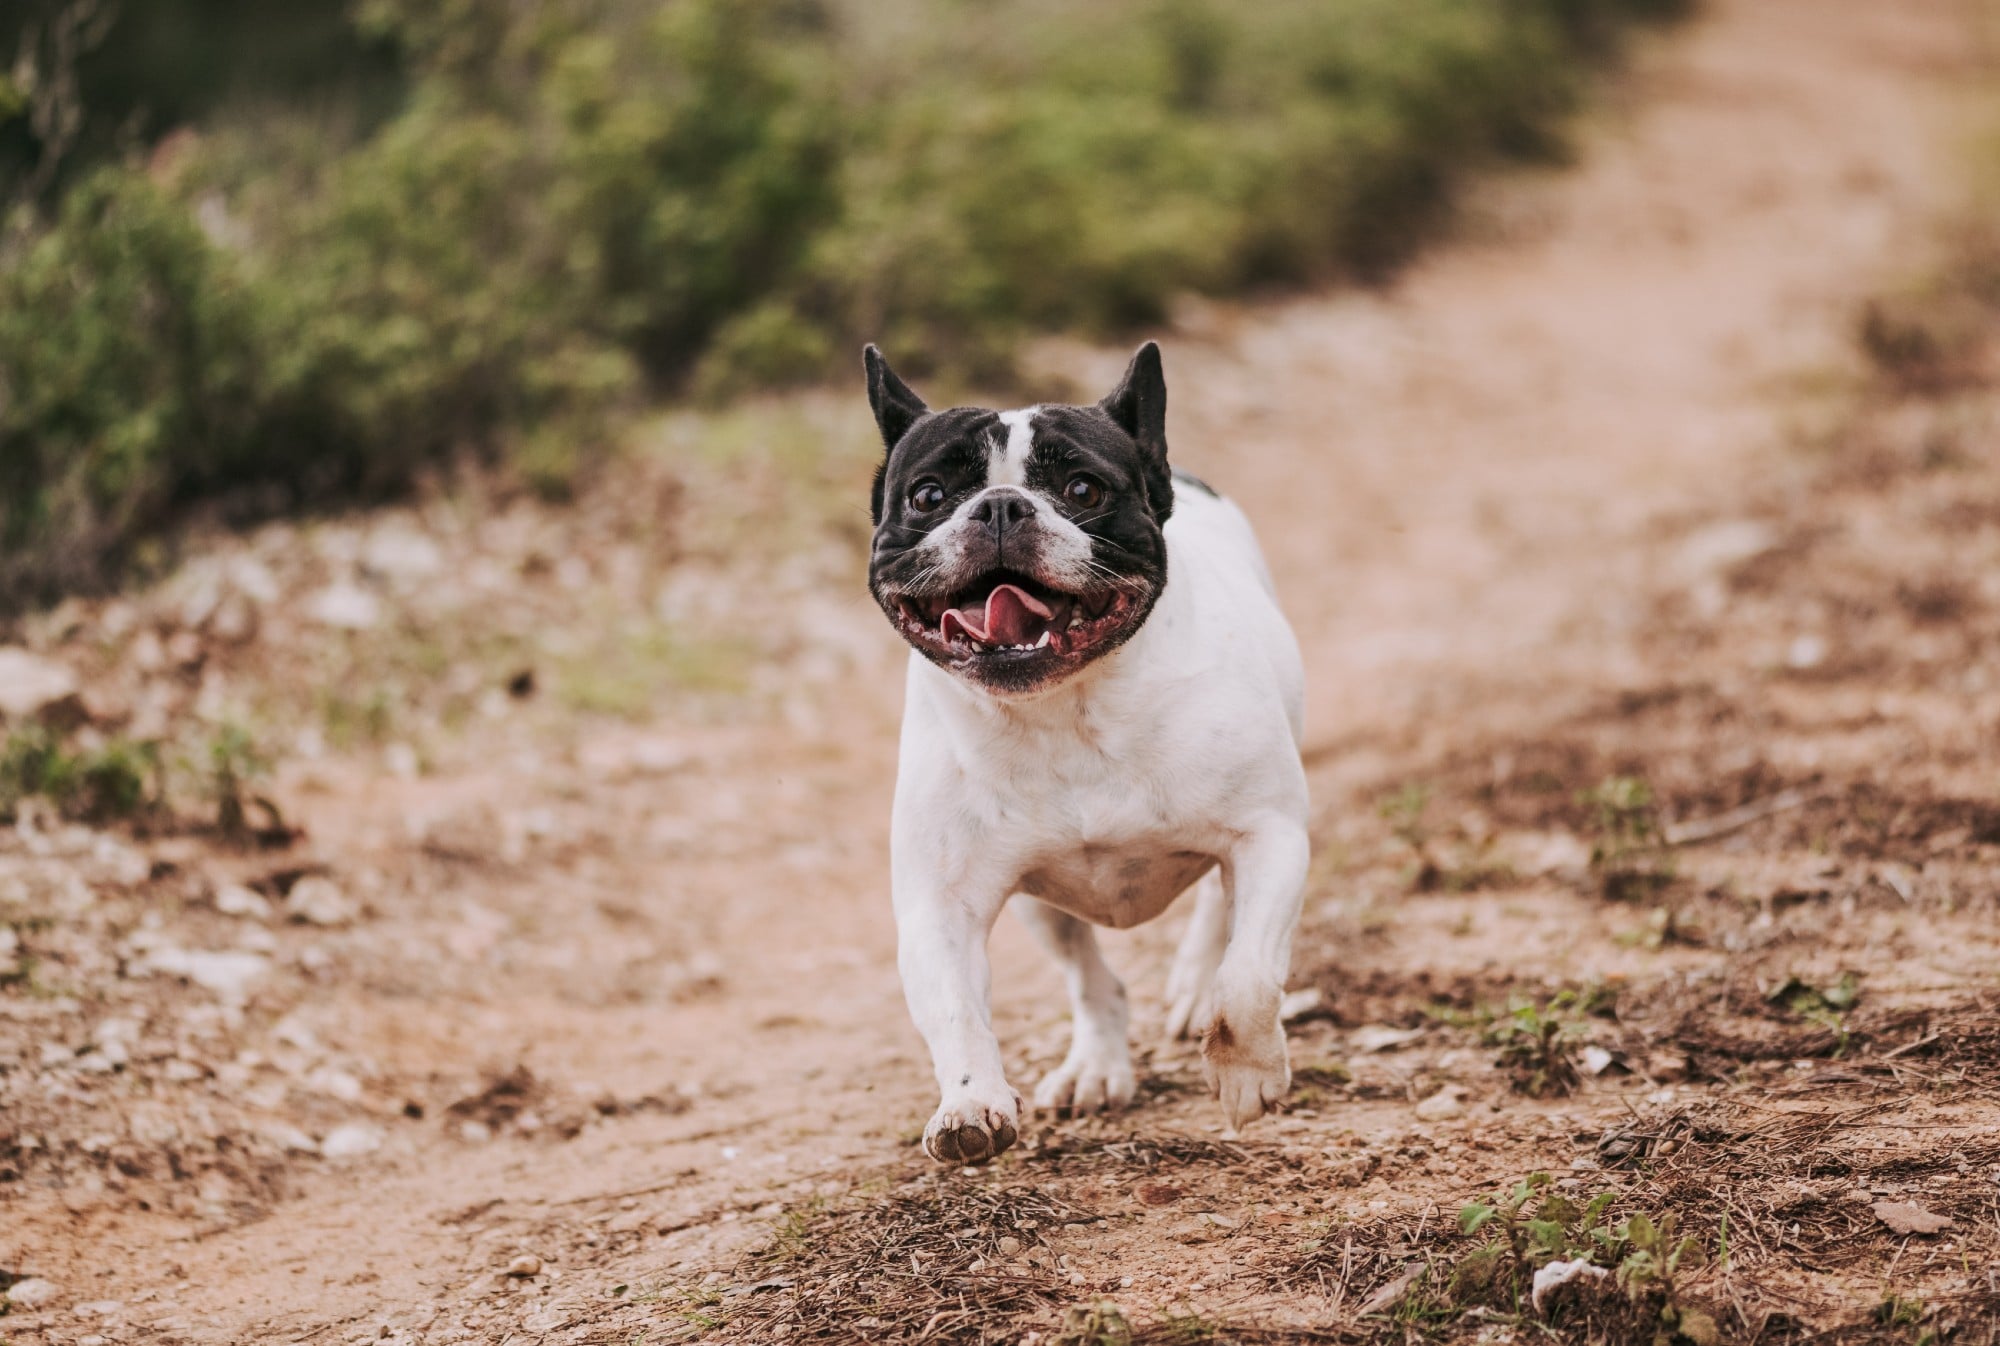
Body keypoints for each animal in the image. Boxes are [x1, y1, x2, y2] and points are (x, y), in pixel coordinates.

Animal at [864, 342, 1312, 1160]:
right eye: (928, 495)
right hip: (1044, 906)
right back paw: (1097, 1067)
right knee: (1091, 977)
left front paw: (1246, 1074)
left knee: (1219, 918)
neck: (1061, 710)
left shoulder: (1270, 836)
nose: (1001, 506)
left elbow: (1248, 978)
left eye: (1083, 488)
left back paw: (1192, 988)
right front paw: (970, 1103)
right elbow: (955, 1011)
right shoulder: (939, 907)